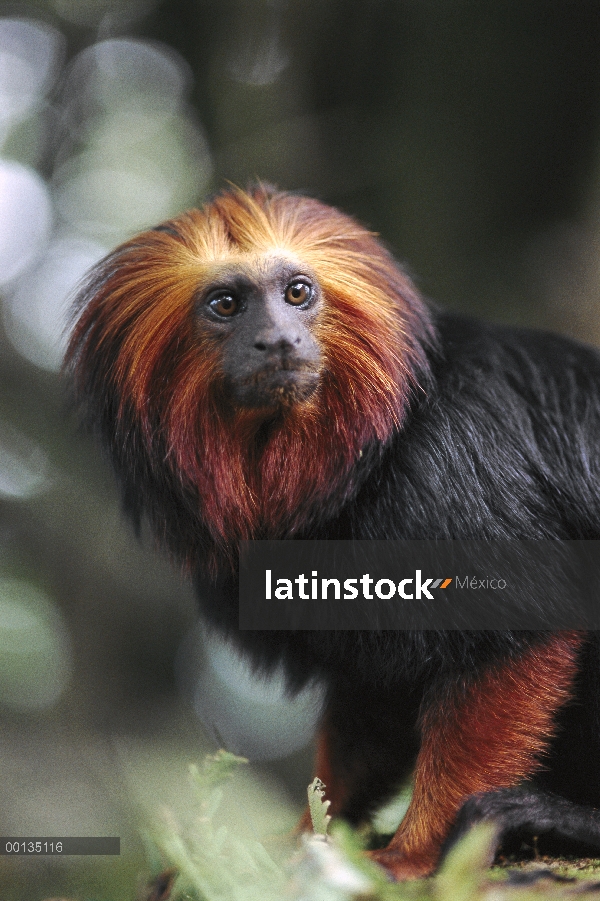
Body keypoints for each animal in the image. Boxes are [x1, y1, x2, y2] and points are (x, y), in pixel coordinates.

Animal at [65, 185, 600, 880]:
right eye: (226, 304)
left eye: (296, 293)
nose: (277, 341)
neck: (376, 447)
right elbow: (370, 697)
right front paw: (305, 833)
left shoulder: (453, 471)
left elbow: (513, 635)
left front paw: (415, 852)